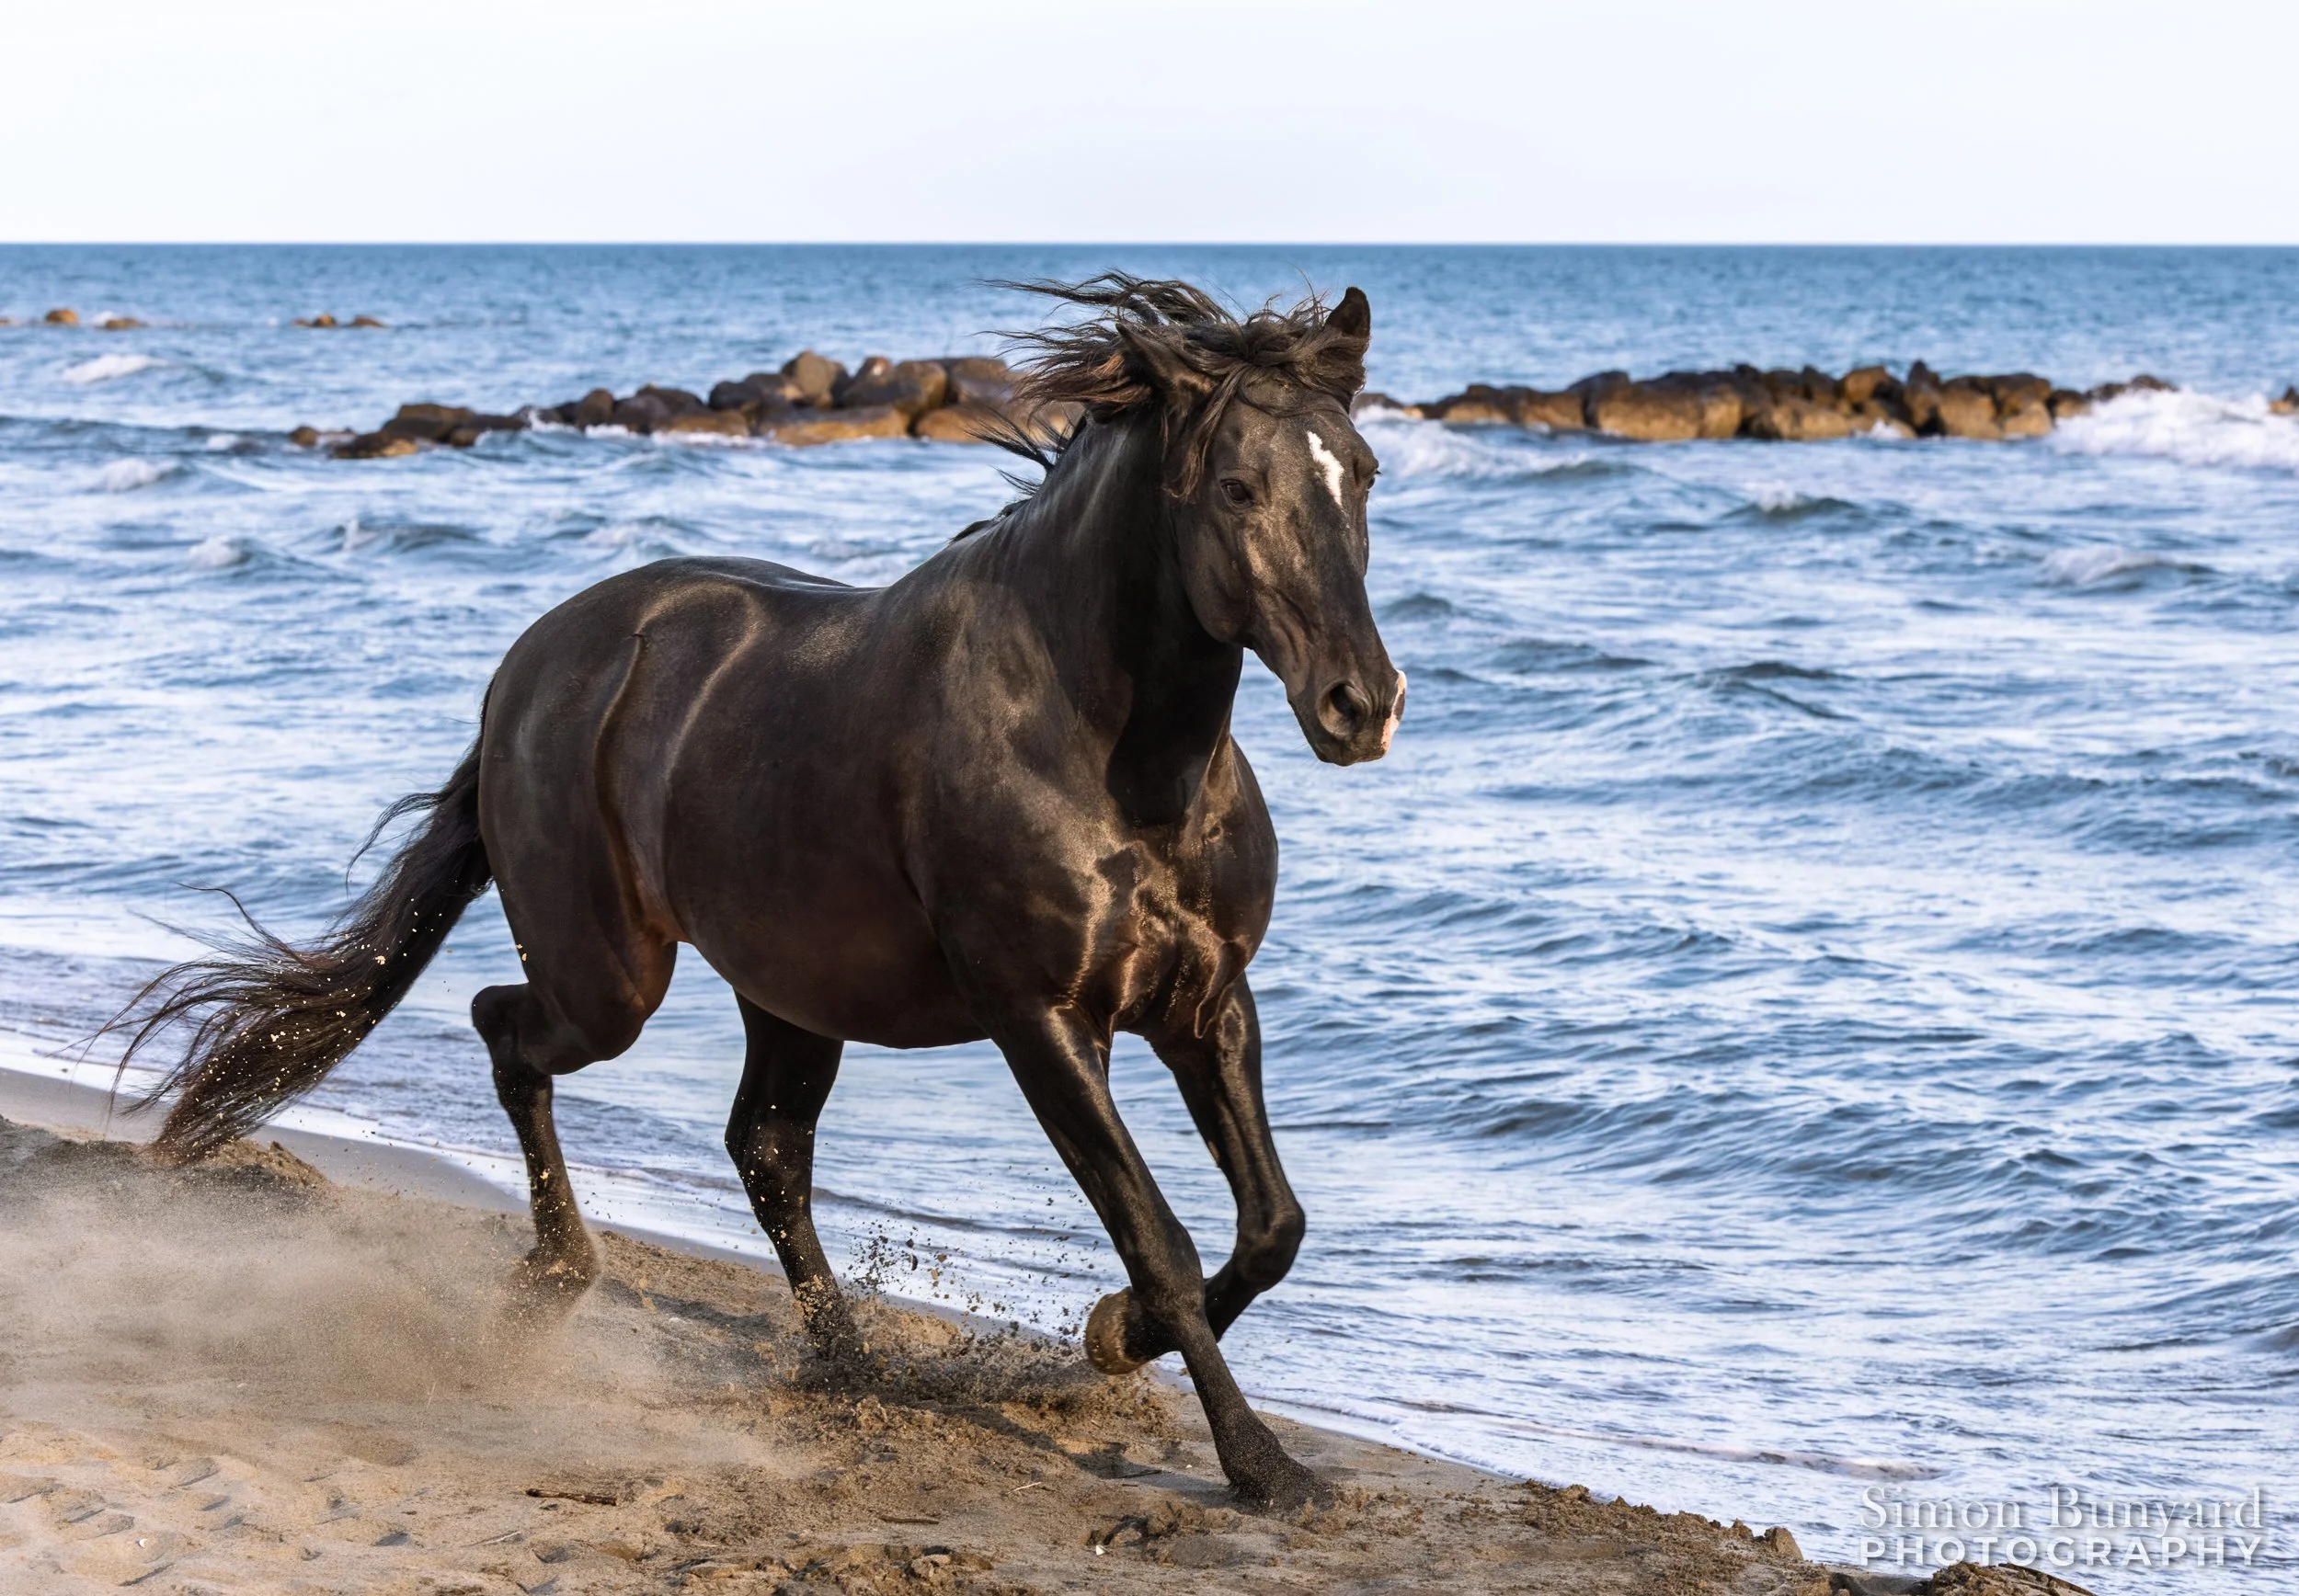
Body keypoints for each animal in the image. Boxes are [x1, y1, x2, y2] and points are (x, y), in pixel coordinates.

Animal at [120, 275, 1404, 1509]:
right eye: (1236, 486)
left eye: (1364, 471)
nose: (1361, 705)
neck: (1109, 756)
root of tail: (525, 673)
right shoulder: (1041, 1019)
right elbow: (1162, 1240)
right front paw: (1262, 1466)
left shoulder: (1207, 1002)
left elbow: (1272, 1226)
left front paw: (1109, 1339)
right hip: (610, 980)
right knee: (511, 1032)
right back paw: (561, 1277)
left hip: (792, 986)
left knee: (764, 1147)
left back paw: (844, 1362)